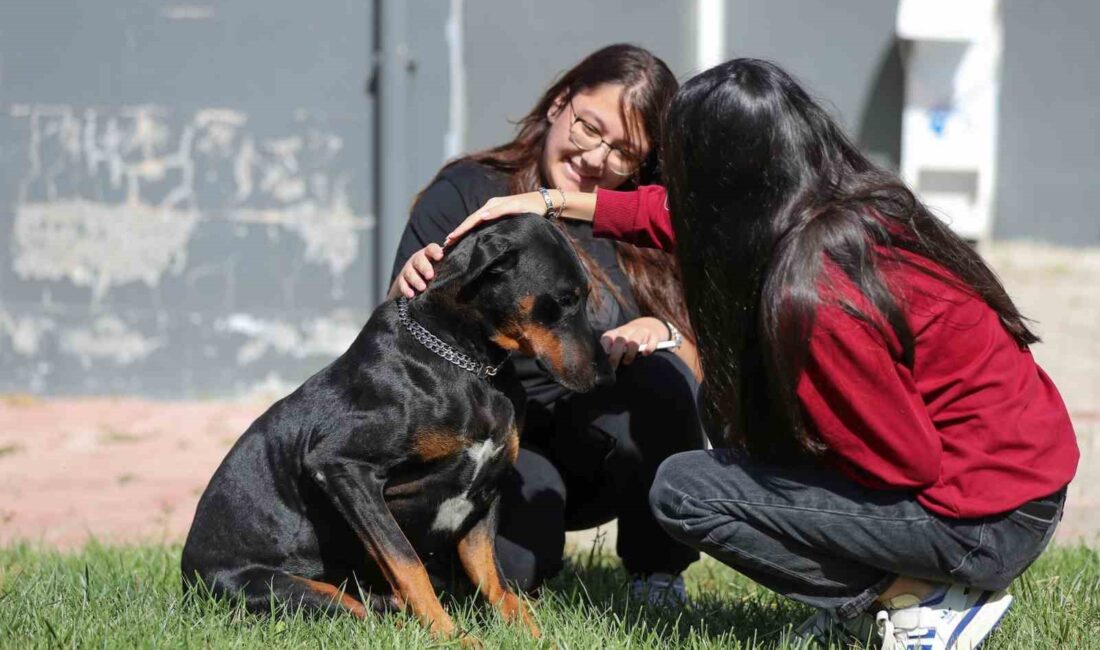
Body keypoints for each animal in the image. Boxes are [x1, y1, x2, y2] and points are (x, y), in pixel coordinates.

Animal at [180, 216, 611, 642]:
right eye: (566, 298)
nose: (605, 375)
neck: (468, 363)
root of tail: (188, 581)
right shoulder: (342, 467)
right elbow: (406, 561)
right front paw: (450, 636)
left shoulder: (486, 489)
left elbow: (494, 578)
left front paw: (532, 634)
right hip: (286, 587)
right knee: (360, 613)